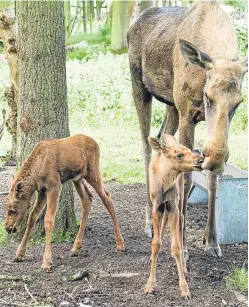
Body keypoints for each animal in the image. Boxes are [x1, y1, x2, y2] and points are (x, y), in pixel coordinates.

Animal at [5, 135, 126, 272]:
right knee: (88, 198)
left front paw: (47, 262)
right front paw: (19, 254)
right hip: (78, 179)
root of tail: (96, 143)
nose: (8, 228)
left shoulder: (54, 186)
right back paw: (76, 248)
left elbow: (48, 220)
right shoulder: (42, 191)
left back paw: (120, 243)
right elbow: (32, 217)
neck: (36, 172)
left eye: (12, 210)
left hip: (93, 172)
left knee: (107, 197)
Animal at [128, 1, 247, 260]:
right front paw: (182, 246)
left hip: (170, 104)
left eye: (239, 102)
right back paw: (149, 222)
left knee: (160, 139)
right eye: (207, 96)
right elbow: (186, 176)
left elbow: (212, 177)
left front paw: (211, 241)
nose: (216, 158)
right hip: (140, 88)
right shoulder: (187, 114)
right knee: (145, 146)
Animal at [144, 134, 204, 298]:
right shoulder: (157, 206)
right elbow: (155, 243)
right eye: (179, 155)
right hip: (166, 206)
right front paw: (150, 284)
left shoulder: (173, 207)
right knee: (166, 223)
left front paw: (184, 288)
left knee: (182, 221)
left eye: (189, 149)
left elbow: (176, 246)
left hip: (180, 197)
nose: (200, 160)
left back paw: (183, 266)